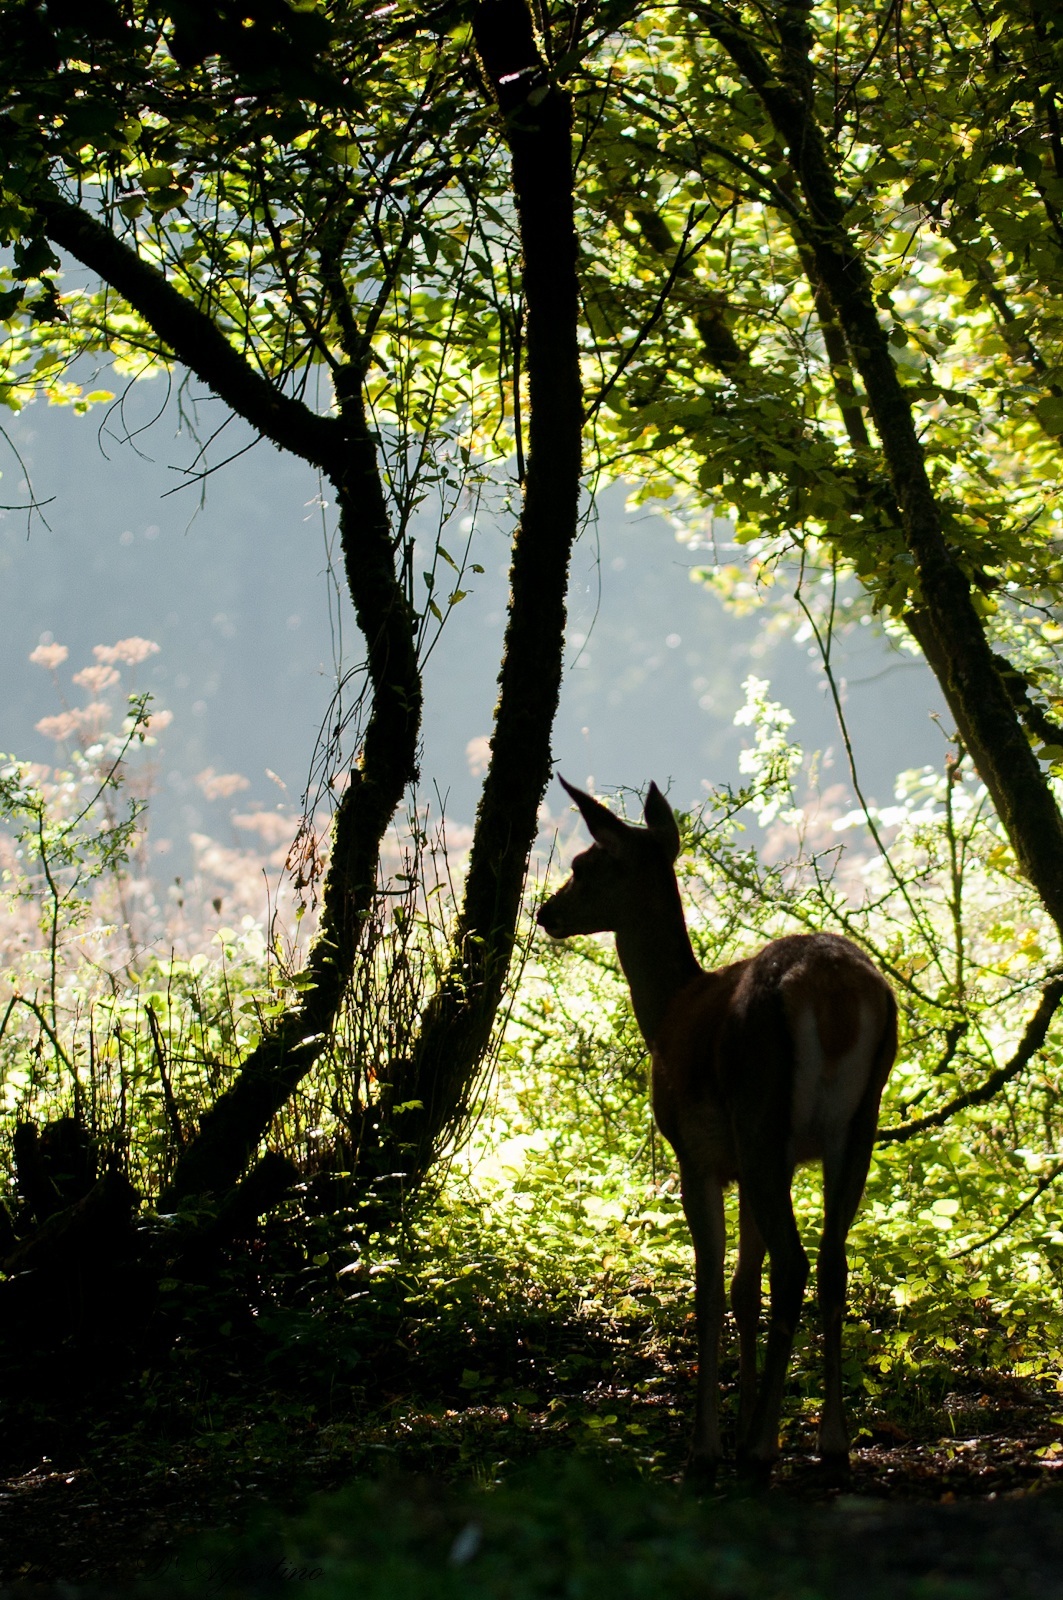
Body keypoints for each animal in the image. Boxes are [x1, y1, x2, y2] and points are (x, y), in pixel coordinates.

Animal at [541, 774, 896, 1472]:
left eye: (584, 865)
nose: (546, 913)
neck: (668, 1011)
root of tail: (835, 995)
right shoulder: (759, 1162)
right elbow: (741, 1288)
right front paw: (751, 1420)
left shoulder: (698, 1153)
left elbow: (707, 1288)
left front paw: (708, 1442)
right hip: (854, 1127)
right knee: (832, 1262)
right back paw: (829, 1439)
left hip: (762, 1112)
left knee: (796, 1265)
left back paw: (758, 1448)